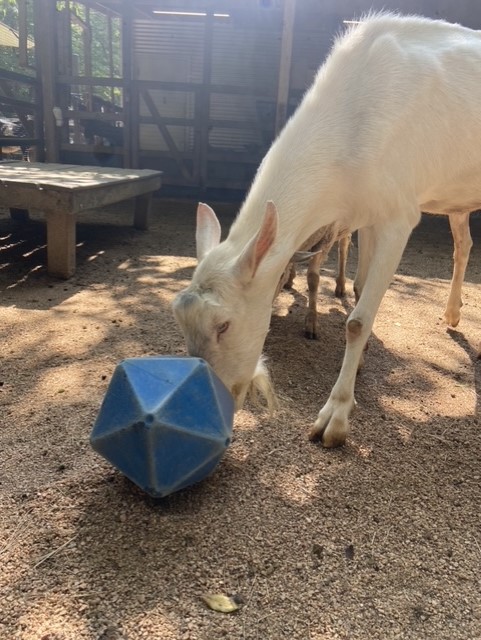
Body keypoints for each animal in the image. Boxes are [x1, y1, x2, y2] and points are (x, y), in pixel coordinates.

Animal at [173, 13, 480, 444]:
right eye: (178, 318)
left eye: (224, 325)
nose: (205, 410)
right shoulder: (368, 214)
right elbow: (360, 288)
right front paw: (362, 362)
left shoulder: (400, 214)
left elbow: (356, 320)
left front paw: (334, 419)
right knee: (463, 243)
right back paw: (452, 315)